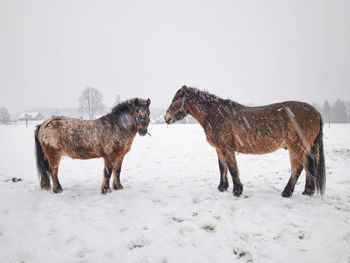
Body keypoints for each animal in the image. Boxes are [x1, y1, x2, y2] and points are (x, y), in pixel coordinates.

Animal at [165, 86, 326, 198]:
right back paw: (307, 191)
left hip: (296, 147)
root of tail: (316, 112)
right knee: (308, 167)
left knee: (297, 168)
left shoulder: (227, 148)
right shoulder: (219, 149)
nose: (166, 118)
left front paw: (237, 191)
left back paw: (286, 192)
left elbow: (232, 169)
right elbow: (222, 168)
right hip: (305, 148)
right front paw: (222, 187)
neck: (217, 114)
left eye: (175, 100)